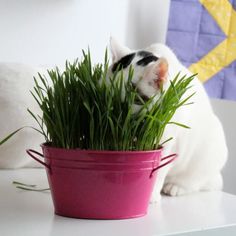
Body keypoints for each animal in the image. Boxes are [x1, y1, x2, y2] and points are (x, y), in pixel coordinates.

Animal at [109, 37, 229, 200]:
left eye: (133, 101)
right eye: (108, 96)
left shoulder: (169, 143)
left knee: (195, 181)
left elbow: (159, 171)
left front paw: (151, 197)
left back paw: (175, 187)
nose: (116, 116)